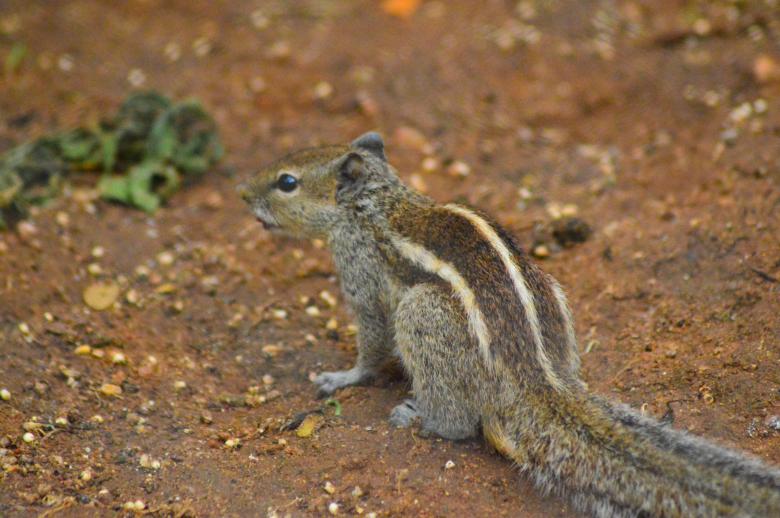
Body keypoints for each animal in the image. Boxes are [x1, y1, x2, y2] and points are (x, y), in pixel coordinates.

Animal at [240, 132, 780, 517]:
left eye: (287, 181)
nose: (242, 193)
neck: (376, 200)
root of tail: (534, 379)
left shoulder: (362, 278)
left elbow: (370, 347)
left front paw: (341, 377)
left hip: (421, 313)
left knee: (457, 424)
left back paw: (418, 416)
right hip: (553, 293)